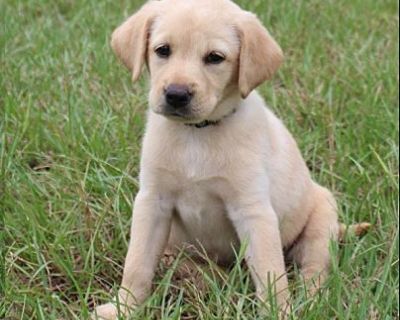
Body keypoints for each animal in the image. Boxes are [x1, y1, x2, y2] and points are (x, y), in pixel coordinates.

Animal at [94, 0, 340, 318]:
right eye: (162, 50)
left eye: (215, 58)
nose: (176, 94)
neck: (197, 134)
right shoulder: (152, 202)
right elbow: (136, 264)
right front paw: (123, 308)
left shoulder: (253, 210)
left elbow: (271, 274)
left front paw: (278, 312)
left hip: (323, 217)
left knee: (314, 268)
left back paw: (310, 300)